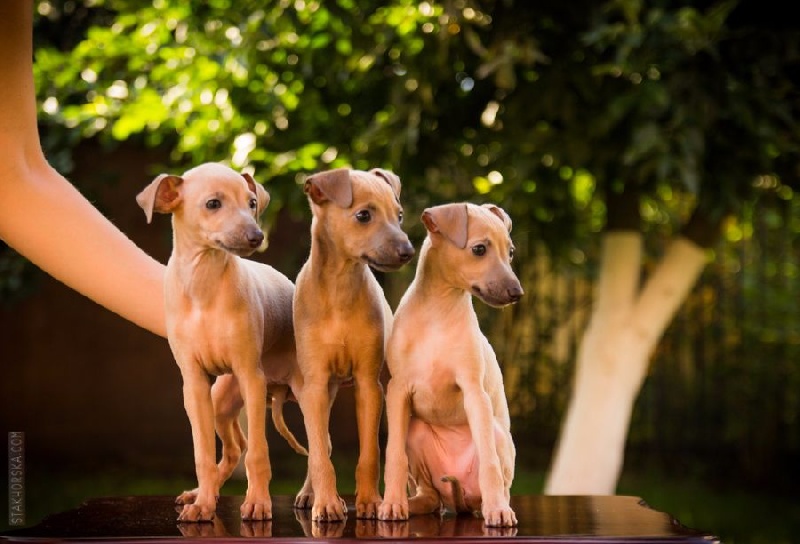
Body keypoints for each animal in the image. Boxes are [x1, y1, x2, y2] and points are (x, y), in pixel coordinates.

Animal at [136, 163, 302, 524]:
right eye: (213, 204)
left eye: (252, 202)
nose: (257, 236)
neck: (204, 282)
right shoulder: (195, 384)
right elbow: (203, 454)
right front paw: (203, 505)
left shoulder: (252, 377)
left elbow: (258, 452)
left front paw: (258, 503)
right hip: (220, 400)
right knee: (232, 449)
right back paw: (202, 493)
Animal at [292, 167, 412, 524]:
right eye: (363, 215)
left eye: (399, 215)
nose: (408, 250)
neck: (339, 287)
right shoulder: (316, 385)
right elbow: (320, 452)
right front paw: (327, 503)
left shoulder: (368, 385)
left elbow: (370, 451)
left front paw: (370, 501)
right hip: (322, 391)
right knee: (321, 444)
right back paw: (309, 494)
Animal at [380, 201, 524, 528]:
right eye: (479, 249)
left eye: (510, 252)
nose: (517, 293)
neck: (439, 309)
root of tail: (460, 502)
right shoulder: (397, 391)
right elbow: (394, 454)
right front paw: (392, 503)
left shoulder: (474, 393)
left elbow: (489, 463)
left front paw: (498, 510)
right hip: (416, 431)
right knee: (431, 497)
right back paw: (412, 504)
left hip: (497, 435)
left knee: (495, 478)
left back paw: (496, 505)